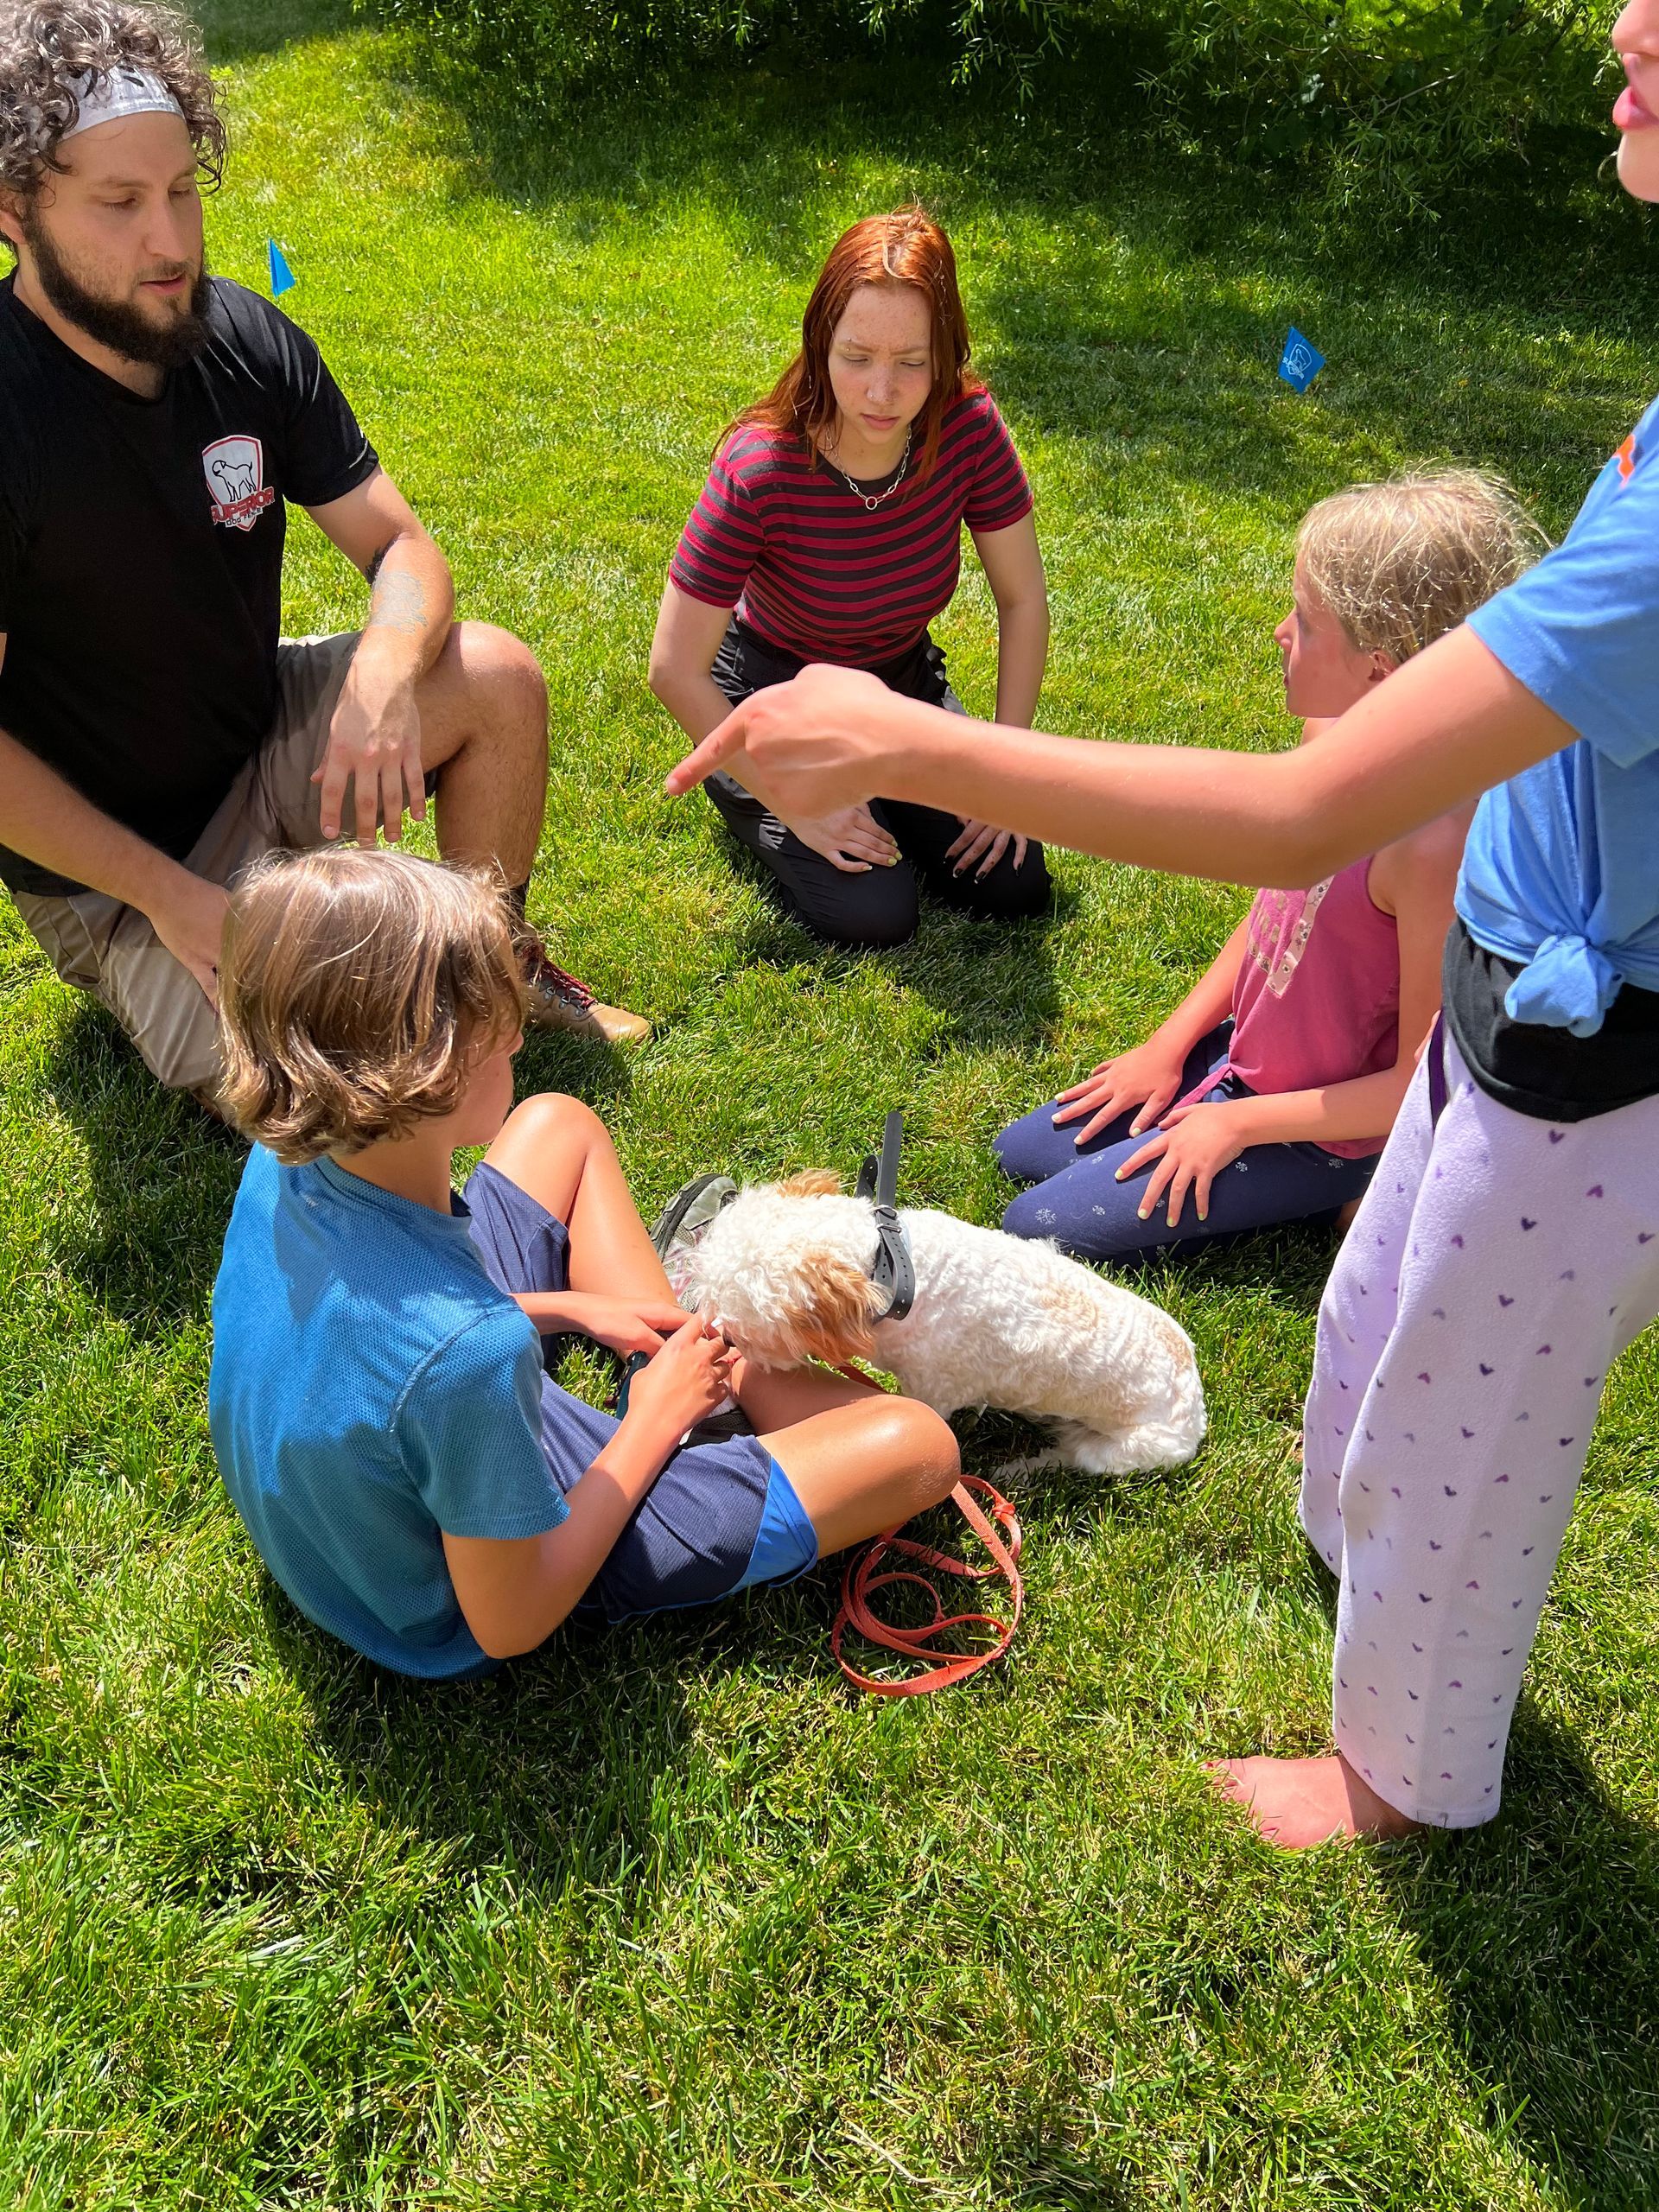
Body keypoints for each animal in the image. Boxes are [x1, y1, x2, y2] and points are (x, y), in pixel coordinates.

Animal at [681, 1167, 1211, 1478]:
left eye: (743, 1328)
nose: (720, 1336)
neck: (891, 1271)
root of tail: (1195, 1400)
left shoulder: (934, 1394)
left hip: (1126, 1450)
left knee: (1072, 1458)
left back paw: (1021, 1470)